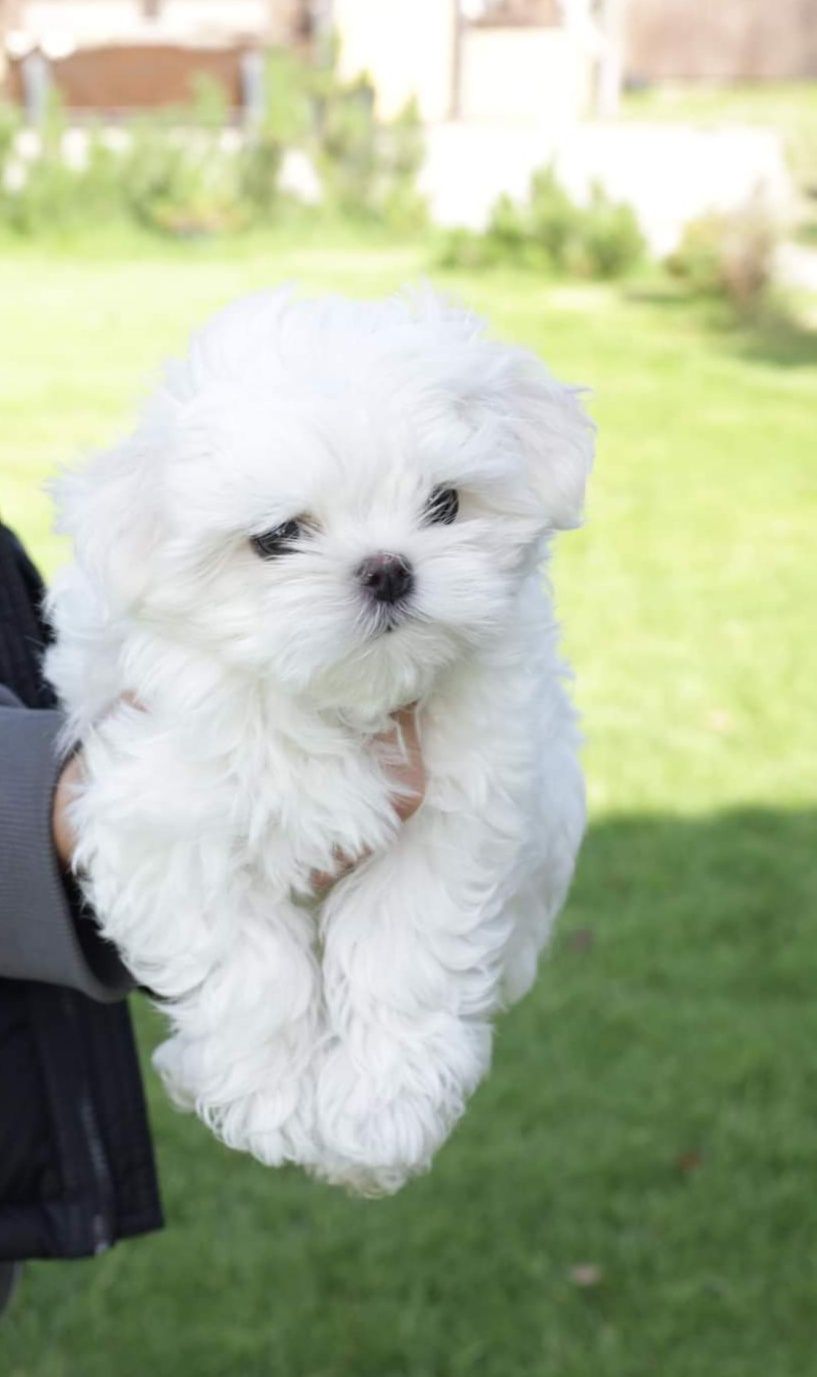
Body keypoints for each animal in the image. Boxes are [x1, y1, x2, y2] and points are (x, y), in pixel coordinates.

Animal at [44, 287, 592, 1195]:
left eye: (444, 504)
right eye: (277, 536)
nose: (387, 567)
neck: (340, 701)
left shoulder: (459, 815)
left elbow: (401, 946)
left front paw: (376, 1118)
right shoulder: (159, 808)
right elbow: (243, 962)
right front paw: (269, 1099)